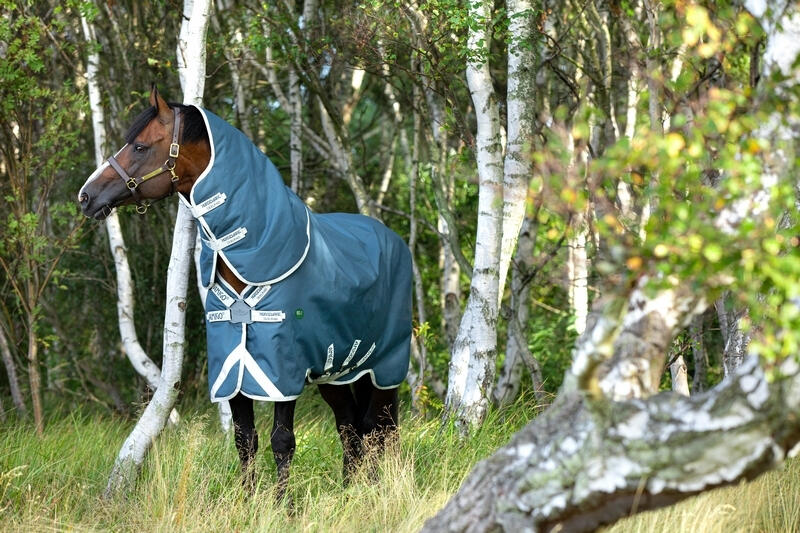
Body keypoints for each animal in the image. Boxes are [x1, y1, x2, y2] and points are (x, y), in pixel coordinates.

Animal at [78, 86, 412, 498]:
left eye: (140, 146)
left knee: (378, 427)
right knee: (351, 426)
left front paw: (283, 504)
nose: (86, 196)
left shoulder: (283, 373)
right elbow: (244, 438)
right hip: (336, 371)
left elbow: (282, 440)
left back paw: (375, 490)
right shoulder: (233, 371)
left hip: (382, 368)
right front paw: (248, 499)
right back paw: (350, 491)